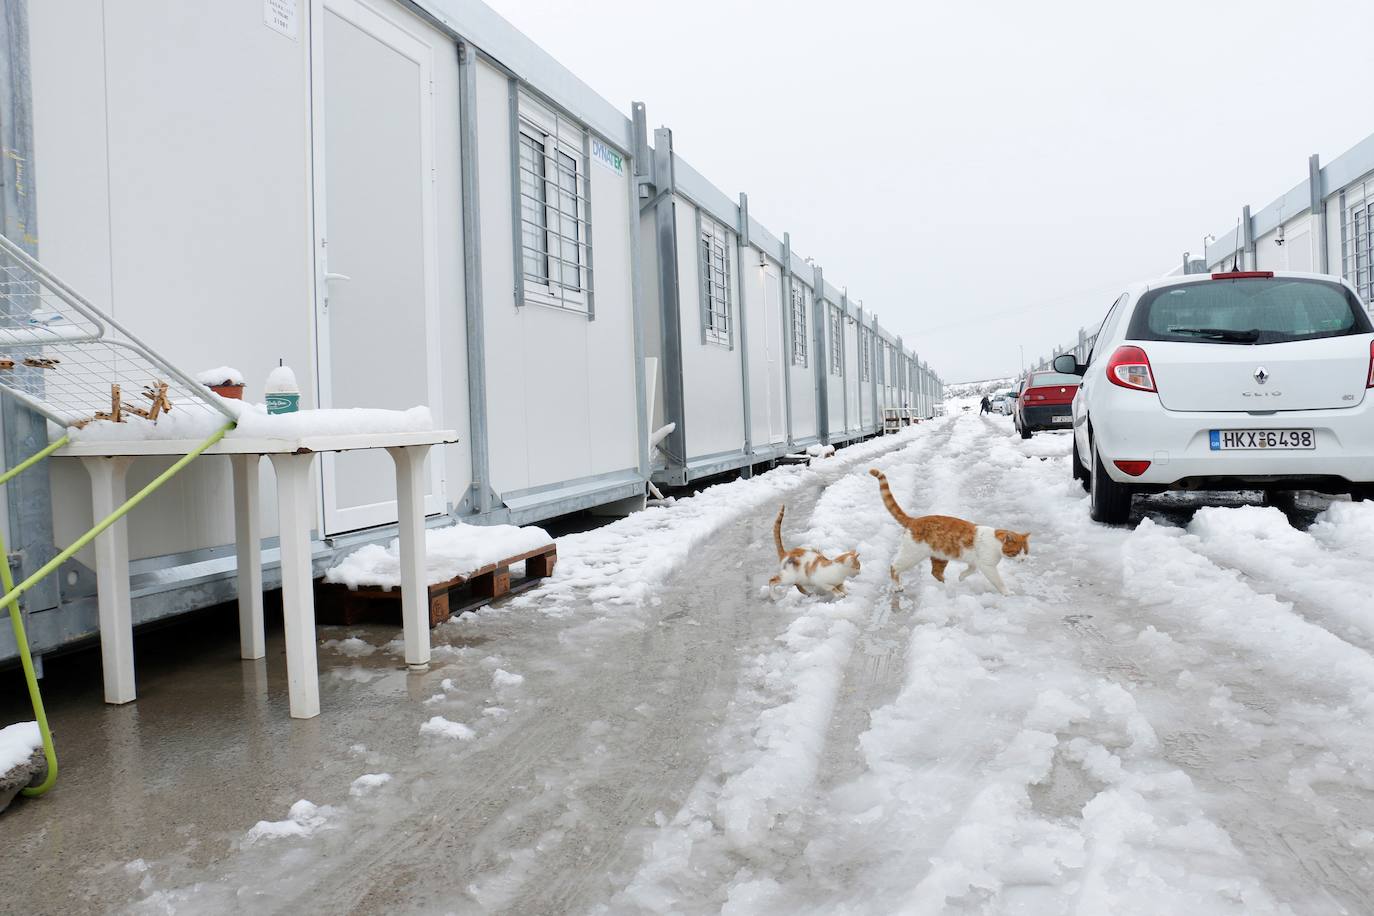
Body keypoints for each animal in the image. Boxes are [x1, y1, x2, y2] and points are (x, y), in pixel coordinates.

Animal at [868, 469, 1033, 598]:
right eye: (1017, 551)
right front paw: (1007, 592)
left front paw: (961, 577)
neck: (996, 543)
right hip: (911, 555)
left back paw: (945, 584)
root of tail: (914, 520)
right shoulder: (988, 566)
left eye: (1025, 551)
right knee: (894, 567)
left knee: (935, 572)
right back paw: (897, 586)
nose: (1023, 559)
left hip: (940, 557)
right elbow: (998, 581)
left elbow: (971, 569)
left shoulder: (975, 561)